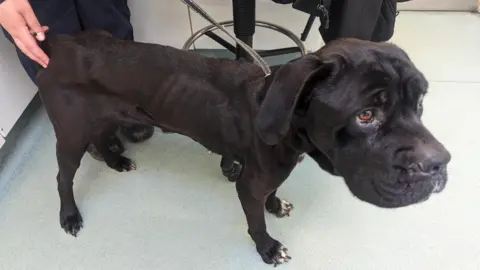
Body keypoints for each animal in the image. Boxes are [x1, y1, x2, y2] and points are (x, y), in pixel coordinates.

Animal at [36, 29, 450, 266]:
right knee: (61, 178)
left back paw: (116, 160)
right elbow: (255, 222)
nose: (441, 165)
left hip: (101, 119)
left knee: (101, 140)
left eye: (420, 104)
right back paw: (69, 215)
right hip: (70, 136)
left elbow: (273, 193)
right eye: (366, 115)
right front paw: (268, 248)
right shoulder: (249, 185)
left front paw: (276, 205)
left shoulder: (270, 174)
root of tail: (61, 45)